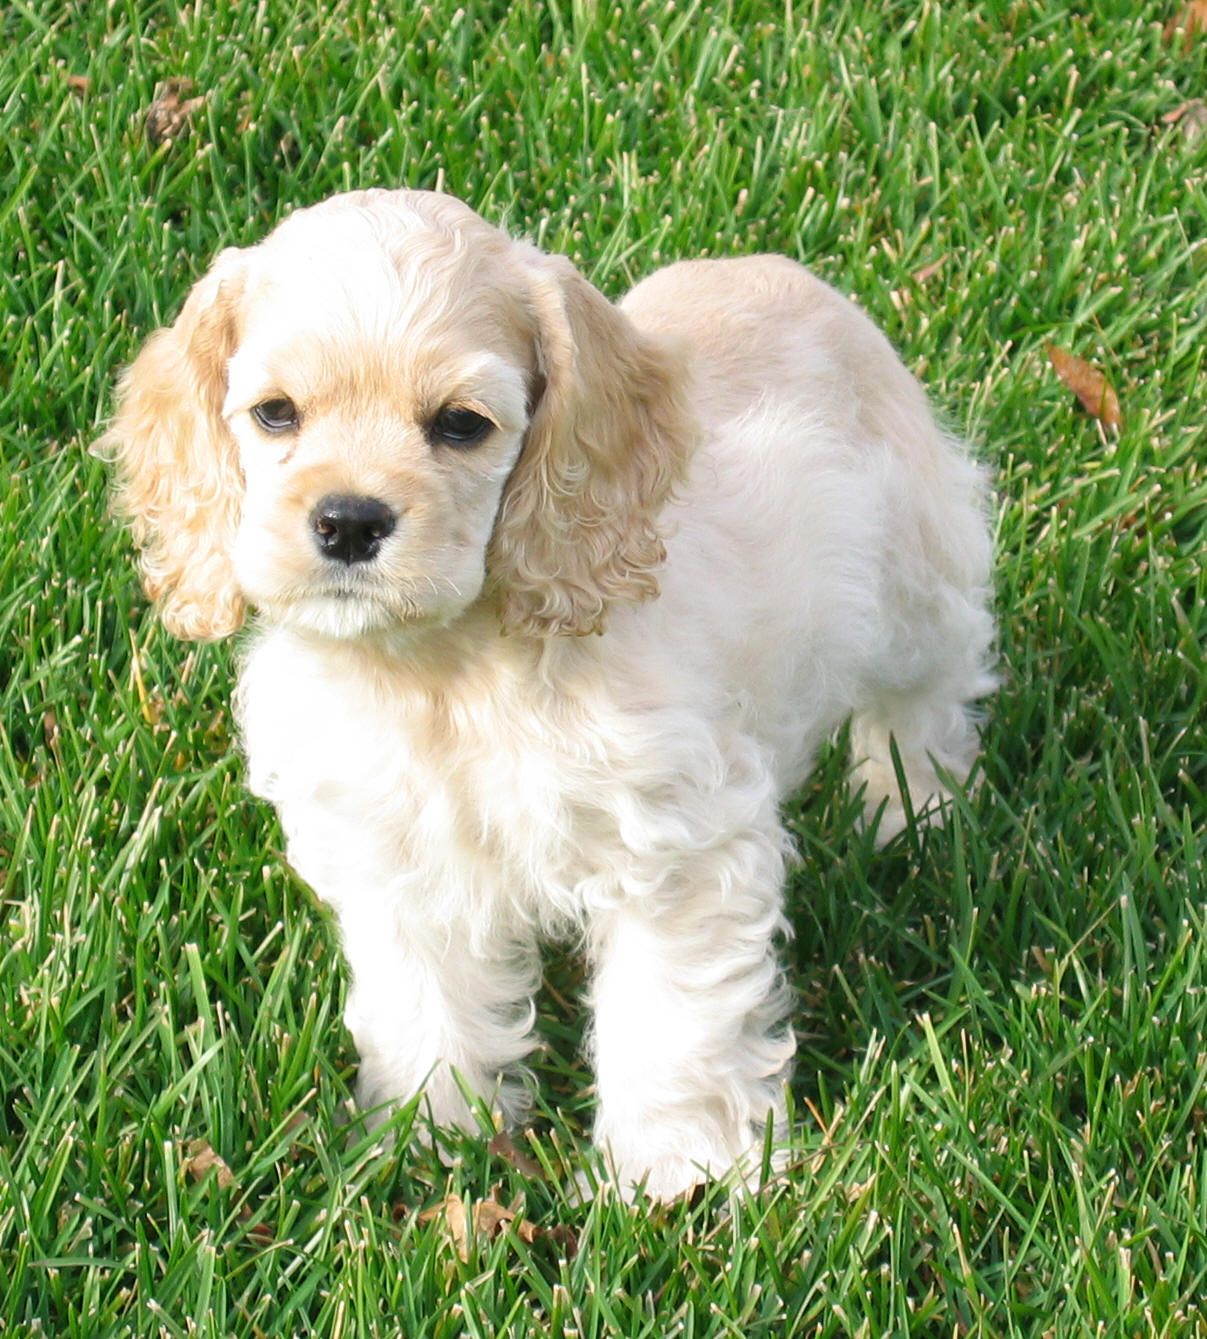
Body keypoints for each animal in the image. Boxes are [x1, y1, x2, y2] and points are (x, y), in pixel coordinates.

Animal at [102, 189, 995, 1201]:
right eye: (274, 414)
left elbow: (668, 1017)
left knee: (931, 691)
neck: (441, 669)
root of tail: (778, 270)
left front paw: (672, 1176)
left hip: (915, 579)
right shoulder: (399, 860)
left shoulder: (677, 852)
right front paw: (431, 1137)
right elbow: (424, 1006)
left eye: (461, 424)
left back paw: (911, 808)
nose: (348, 521)